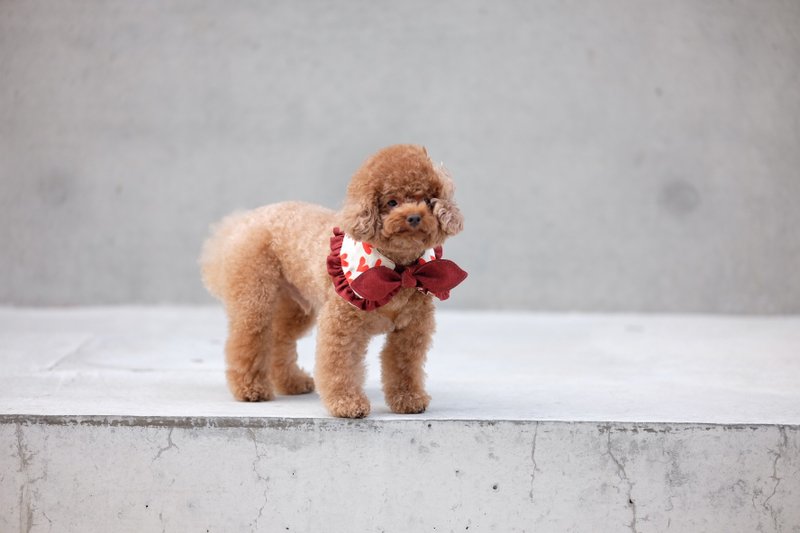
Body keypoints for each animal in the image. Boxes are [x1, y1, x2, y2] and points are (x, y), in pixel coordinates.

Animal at [200, 143, 466, 418]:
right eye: (392, 202)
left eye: (427, 201)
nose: (414, 217)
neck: (399, 271)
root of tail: (242, 222)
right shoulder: (343, 325)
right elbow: (341, 365)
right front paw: (347, 403)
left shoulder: (412, 329)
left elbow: (404, 365)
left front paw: (408, 399)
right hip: (255, 298)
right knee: (248, 340)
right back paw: (250, 389)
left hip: (296, 305)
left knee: (279, 339)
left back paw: (292, 382)